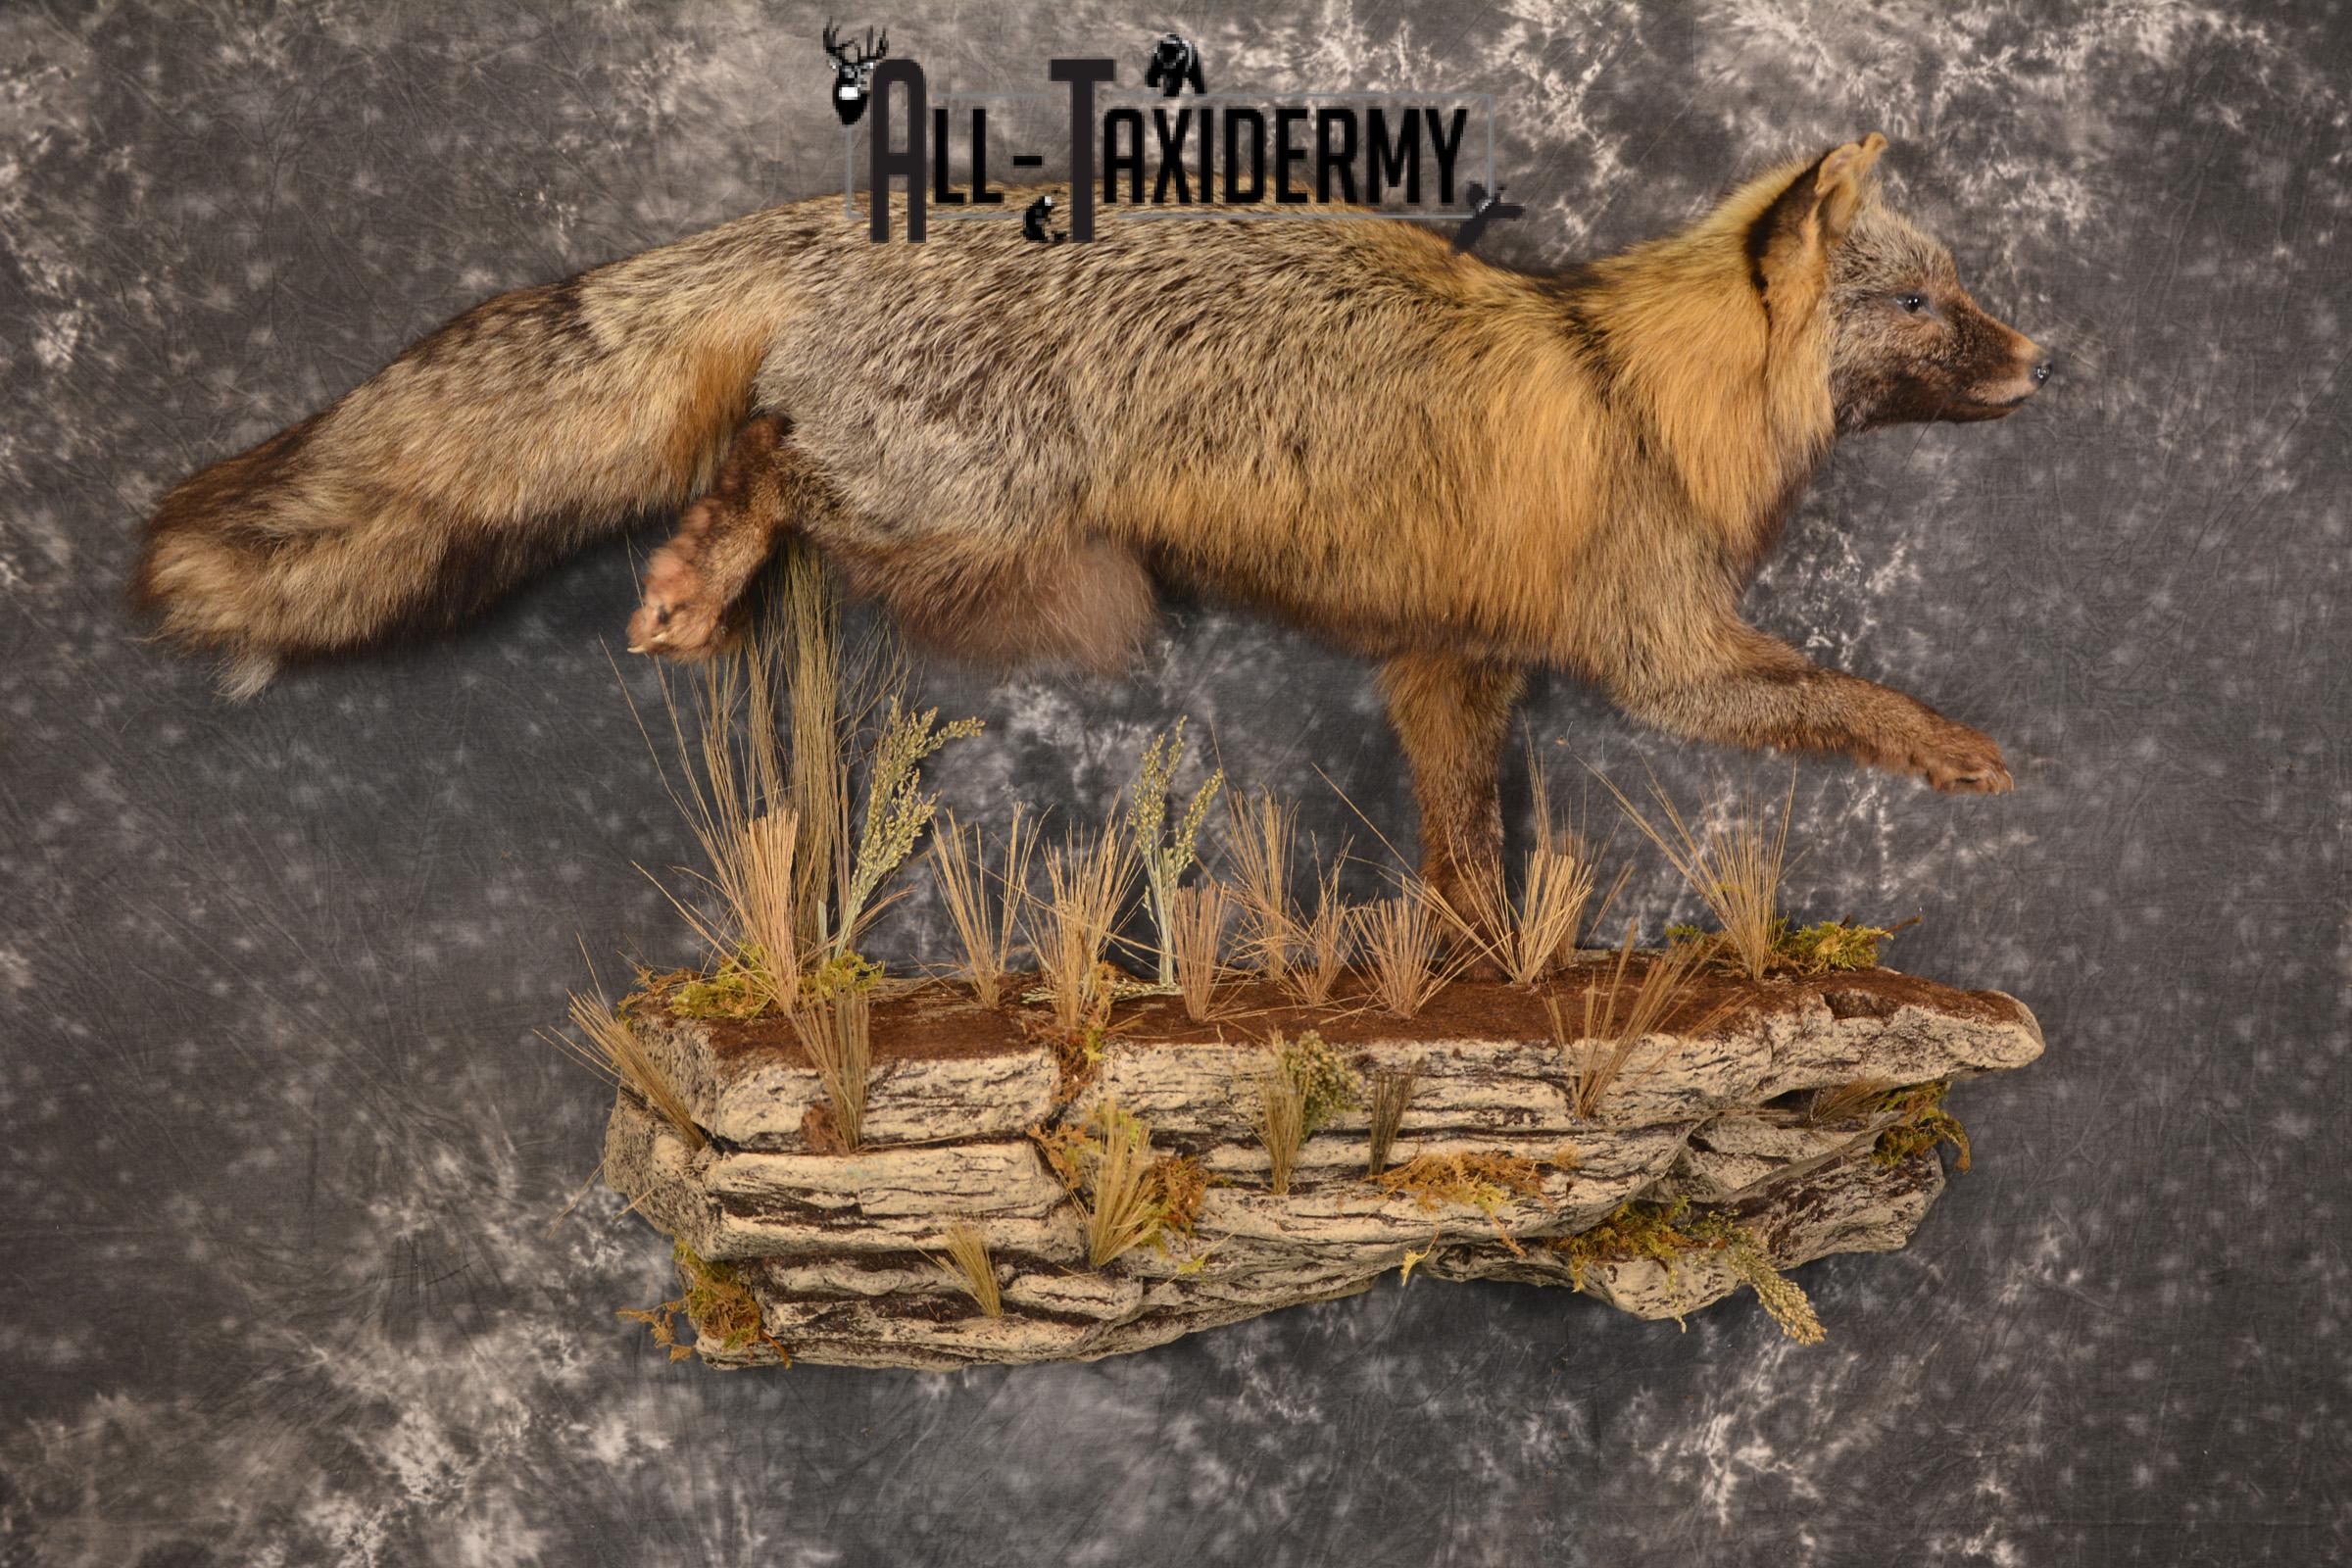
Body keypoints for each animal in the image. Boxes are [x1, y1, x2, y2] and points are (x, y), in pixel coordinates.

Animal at [133, 132, 2051, 924]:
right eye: (1926, 307)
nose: (2048, 361)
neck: (1636, 389)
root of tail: (871, 217)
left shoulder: (1453, 668)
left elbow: (1462, 856)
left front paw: (1476, 971)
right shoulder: (1666, 661)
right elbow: (1831, 699)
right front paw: (1951, 744)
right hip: (1020, 550)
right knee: (773, 461)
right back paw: (700, 569)